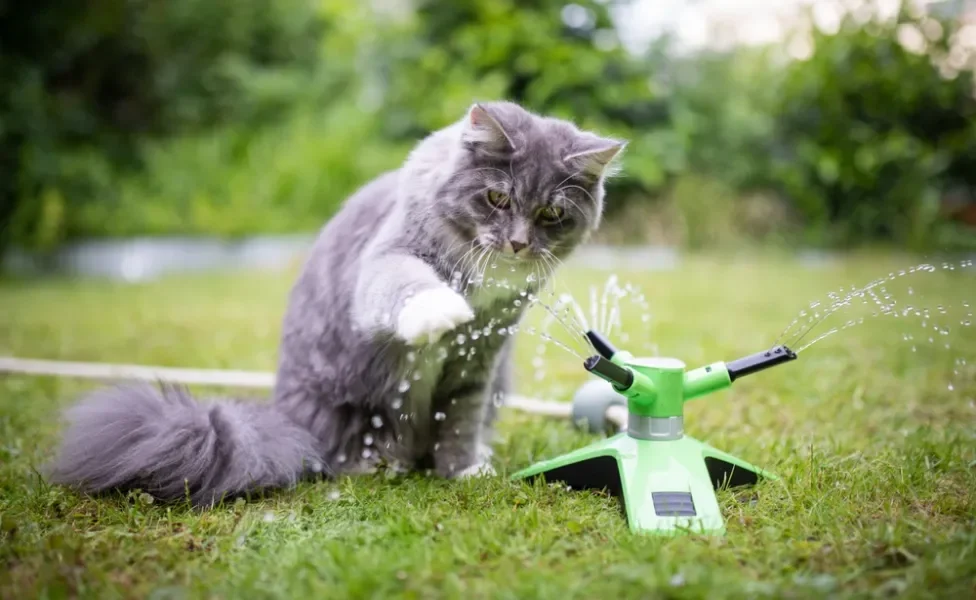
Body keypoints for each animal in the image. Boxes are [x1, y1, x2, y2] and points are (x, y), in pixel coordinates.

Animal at [47, 102, 624, 506]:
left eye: (551, 214)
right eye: (498, 198)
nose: (519, 244)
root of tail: (282, 421)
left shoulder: (481, 357)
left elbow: (460, 418)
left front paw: (463, 469)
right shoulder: (386, 260)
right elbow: (408, 284)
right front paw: (441, 310)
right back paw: (379, 465)